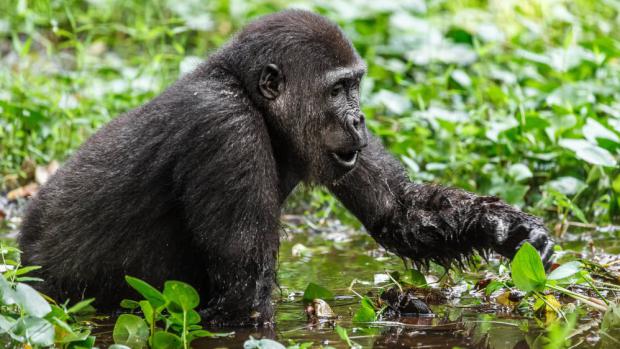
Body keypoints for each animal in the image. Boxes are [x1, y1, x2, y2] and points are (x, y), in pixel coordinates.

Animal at [18, 11, 552, 326]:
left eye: (356, 85)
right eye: (337, 90)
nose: (359, 118)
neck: (249, 94)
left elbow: (398, 212)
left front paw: (506, 227)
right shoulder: (227, 128)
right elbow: (244, 297)